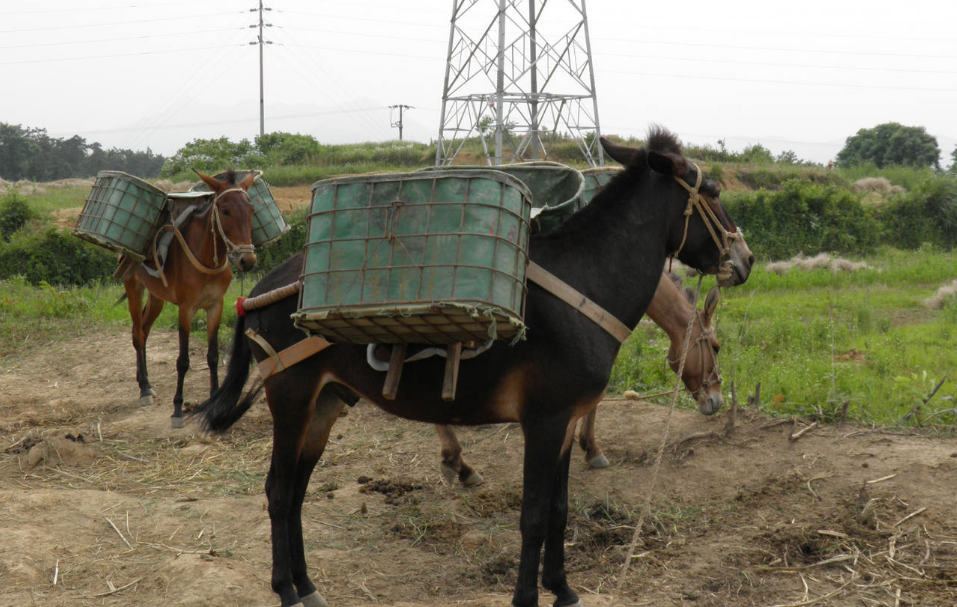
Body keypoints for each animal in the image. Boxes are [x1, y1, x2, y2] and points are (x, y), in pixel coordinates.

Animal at [124, 170, 258, 428]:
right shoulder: (186, 309)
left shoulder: (215, 306)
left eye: (252, 210)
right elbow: (183, 360)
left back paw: (143, 380)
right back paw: (144, 388)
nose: (247, 260)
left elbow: (213, 356)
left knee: (144, 330)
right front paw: (177, 409)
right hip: (133, 287)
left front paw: (214, 400)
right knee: (138, 335)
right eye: (225, 210)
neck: (206, 257)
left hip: (157, 296)